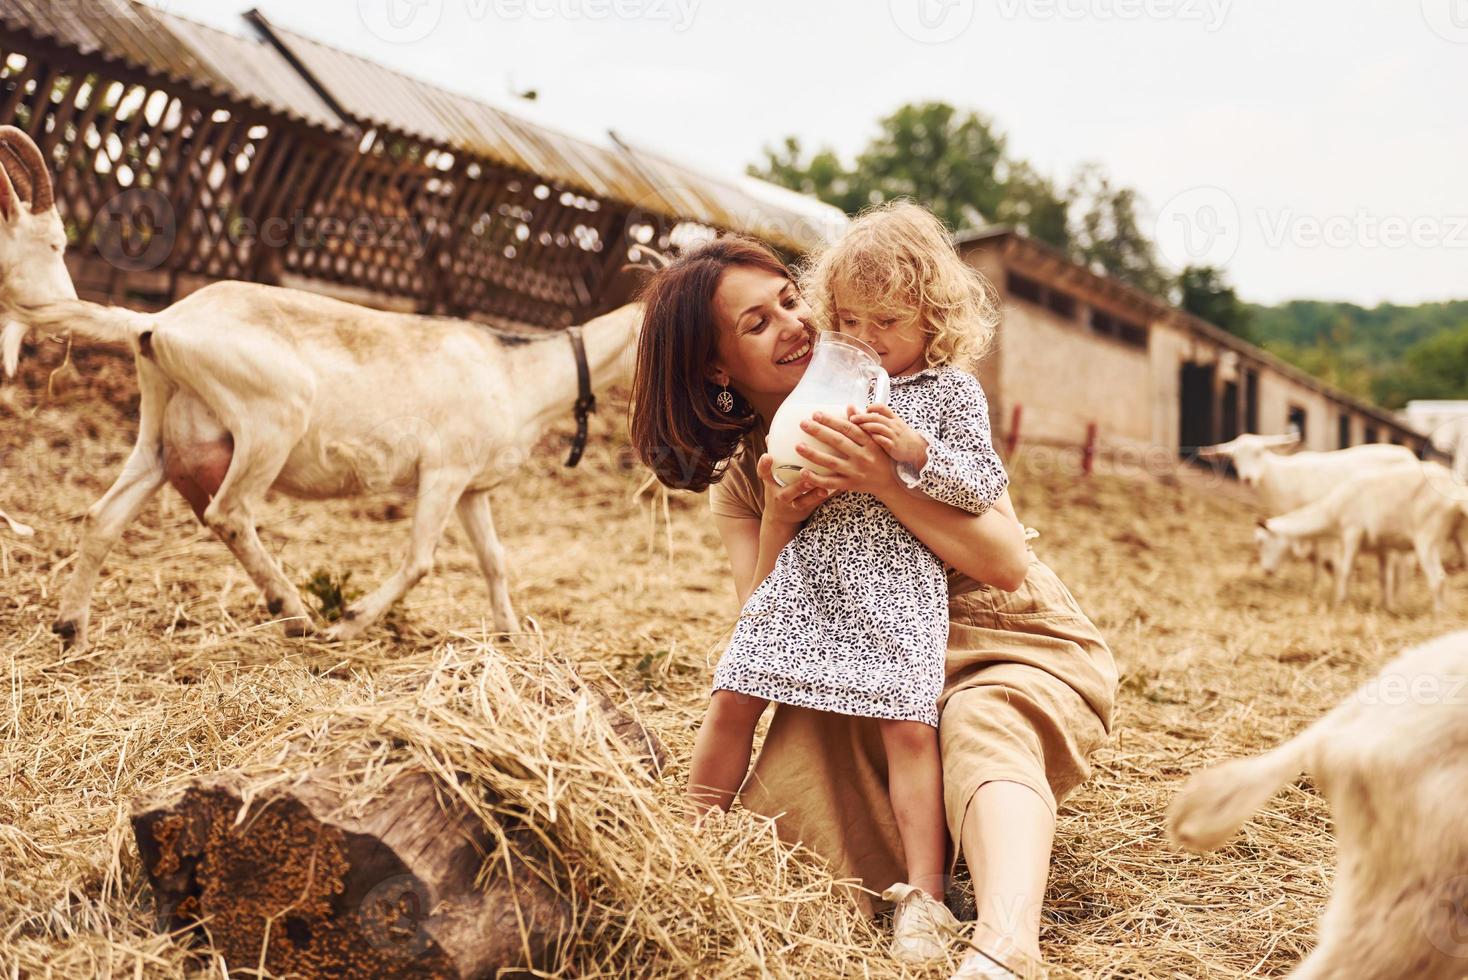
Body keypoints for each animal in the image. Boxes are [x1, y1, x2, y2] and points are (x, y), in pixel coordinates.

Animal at [0, 129, 642, 651]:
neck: (517, 371)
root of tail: (158, 322)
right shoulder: (444, 470)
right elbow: (420, 560)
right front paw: (350, 622)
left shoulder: (472, 488)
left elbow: (495, 560)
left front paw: (511, 637)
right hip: (272, 418)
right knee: (227, 512)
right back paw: (296, 613)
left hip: (161, 431)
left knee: (104, 517)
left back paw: (72, 629)